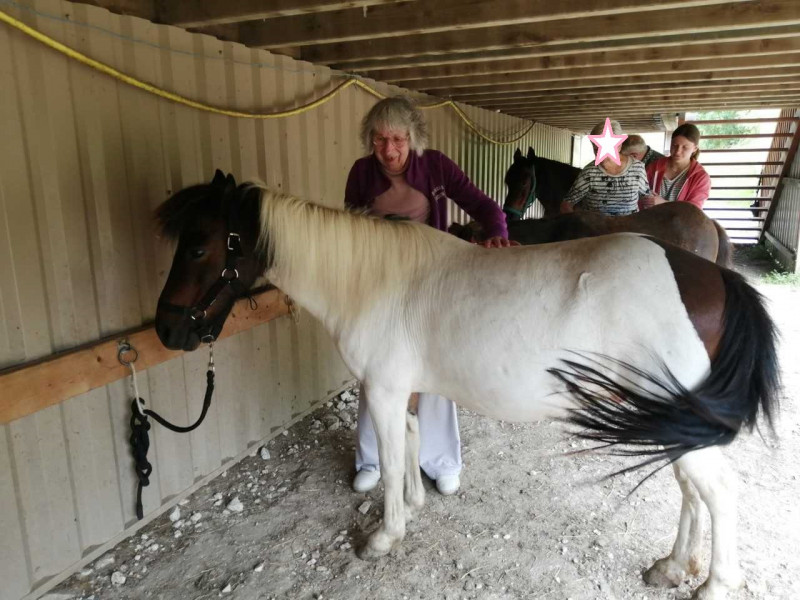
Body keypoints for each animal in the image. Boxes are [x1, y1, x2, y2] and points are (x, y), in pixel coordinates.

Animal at [153, 170, 780, 600]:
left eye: (200, 245)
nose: (166, 329)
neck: (373, 279)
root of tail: (713, 278)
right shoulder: (400, 388)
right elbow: (409, 437)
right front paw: (415, 503)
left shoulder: (382, 389)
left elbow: (391, 456)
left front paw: (384, 536)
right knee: (692, 492)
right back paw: (671, 568)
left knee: (717, 492)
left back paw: (713, 584)